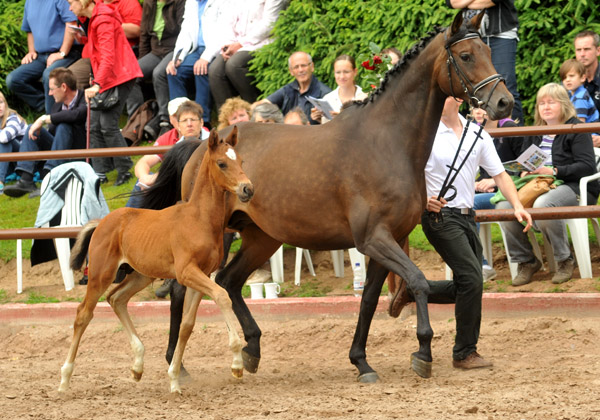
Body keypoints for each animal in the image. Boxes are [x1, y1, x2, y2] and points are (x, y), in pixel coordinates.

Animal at [57, 128, 252, 394]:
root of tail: (102, 222)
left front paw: (174, 379)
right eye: (222, 163)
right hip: (101, 274)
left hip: (140, 275)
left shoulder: (201, 275)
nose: (247, 189)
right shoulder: (186, 272)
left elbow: (187, 325)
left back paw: (138, 365)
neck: (199, 219)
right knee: (83, 314)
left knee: (116, 299)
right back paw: (64, 379)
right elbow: (222, 295)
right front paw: (237, 363)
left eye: (241, 161)